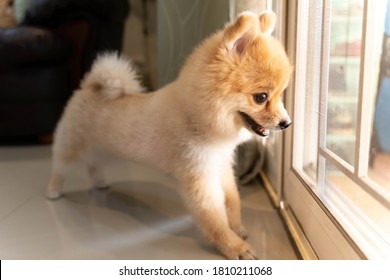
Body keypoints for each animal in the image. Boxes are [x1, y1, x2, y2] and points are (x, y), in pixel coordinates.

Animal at [46, 11, 292, 260]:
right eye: (261, 97)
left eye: (281, 95)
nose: (287, 123)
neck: (195, 117)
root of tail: (91, 86)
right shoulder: (199, 175)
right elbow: (214, 217)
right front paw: (233, 246)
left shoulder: (221, 165)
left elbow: (232, 200)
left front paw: (237, 228)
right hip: (72, 145)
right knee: (60, 167)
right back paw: (53, 191)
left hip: (105, 148)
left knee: (93, 164)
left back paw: (100, 182)